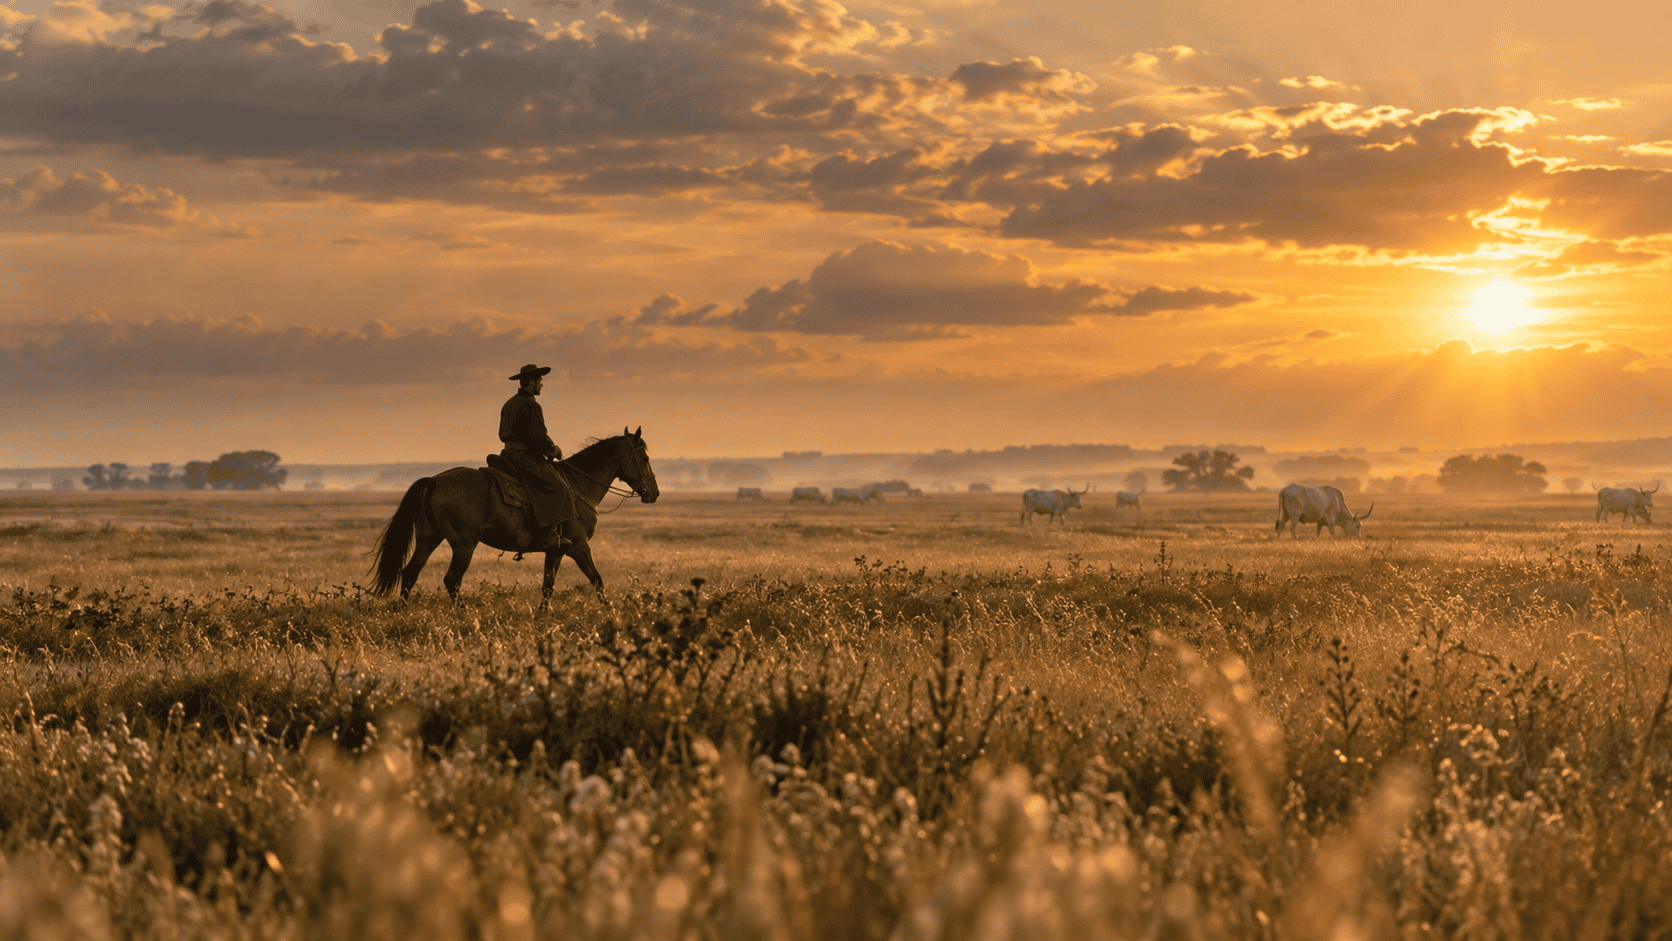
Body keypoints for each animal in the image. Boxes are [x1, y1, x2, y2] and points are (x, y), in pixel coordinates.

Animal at [370, 427, 658, 608]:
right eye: (644, 457)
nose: (654, 493)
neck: (579, 485)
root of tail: (434, 480)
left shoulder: (556, 550)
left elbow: (548, 585)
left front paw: (543, 614)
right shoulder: (578, 546)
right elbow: (596, 579)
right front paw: (609, 610)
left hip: (429, 539)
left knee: (410, 572)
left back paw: (402, 611)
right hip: (464, 545)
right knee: (451, 579)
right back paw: (463, 613)